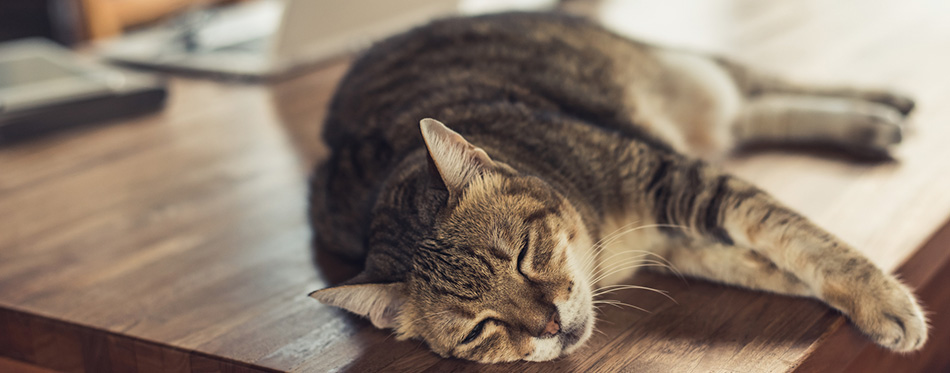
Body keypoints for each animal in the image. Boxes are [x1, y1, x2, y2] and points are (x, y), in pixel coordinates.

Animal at [310, 12, 928, 364]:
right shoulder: (674, 237)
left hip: (682, 67)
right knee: (749, 111)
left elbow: (795, 234)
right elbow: (766, 262)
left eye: (523, 256)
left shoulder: (672, 176)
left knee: (763, 82)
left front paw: (887, 299)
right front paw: (874, 305)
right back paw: (875, 126)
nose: (550, 324)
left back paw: (885, 105)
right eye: (480, 329)